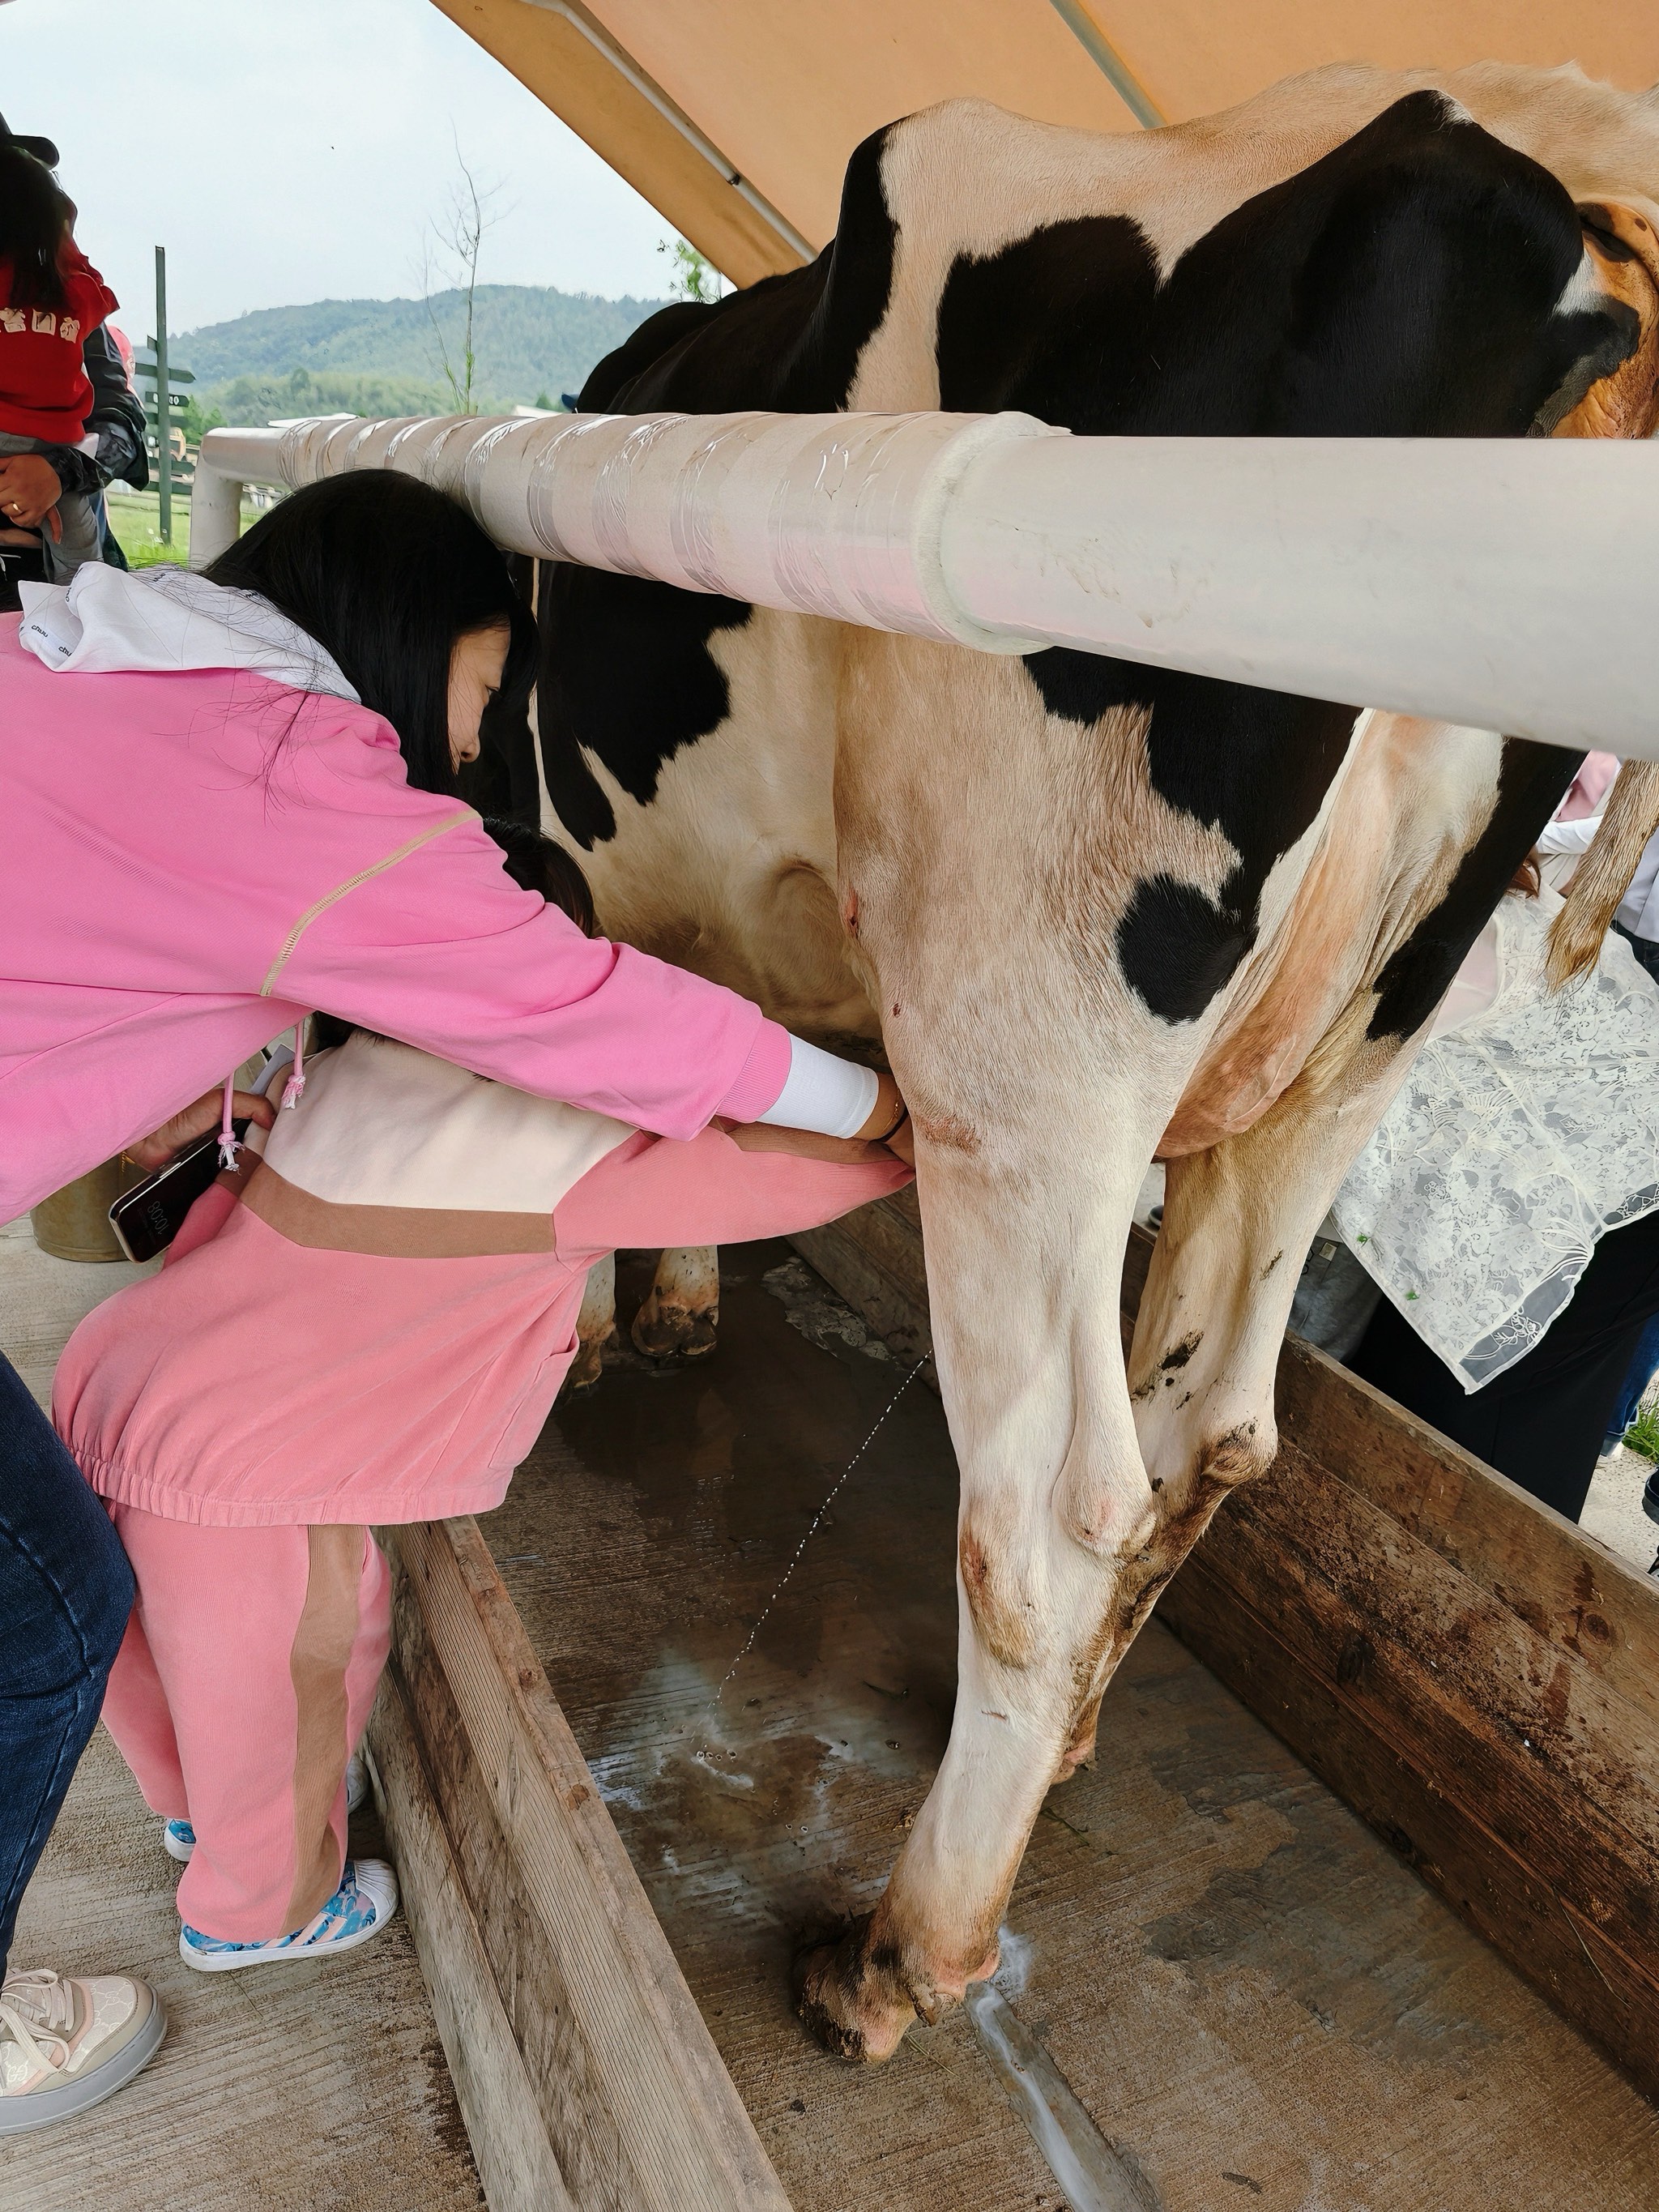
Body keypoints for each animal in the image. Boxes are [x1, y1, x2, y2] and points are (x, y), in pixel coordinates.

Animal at [504, 69, 1659, 2070]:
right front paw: (675, 1305)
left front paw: (606, 1328)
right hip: (1331, 1069)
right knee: (1213, 1431)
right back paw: (1072, 1752)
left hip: (1021, 1061)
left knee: (1047, 1525)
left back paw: (905, 1951)